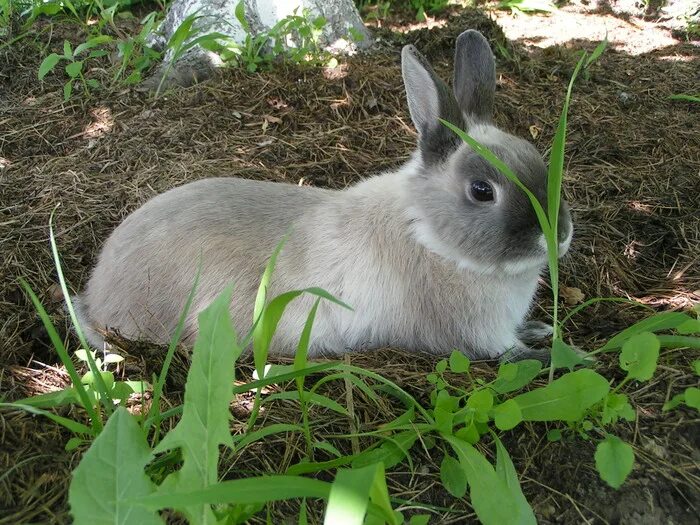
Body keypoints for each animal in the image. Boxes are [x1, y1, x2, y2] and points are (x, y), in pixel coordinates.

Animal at [74, 29, 572, 360]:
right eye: (482, 190)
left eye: (536, 157)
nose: (559, 235)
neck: (427, 234)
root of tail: (97, 295)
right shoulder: (477, 336)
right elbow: (509, 357)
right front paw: (561, 356)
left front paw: (542, 330)